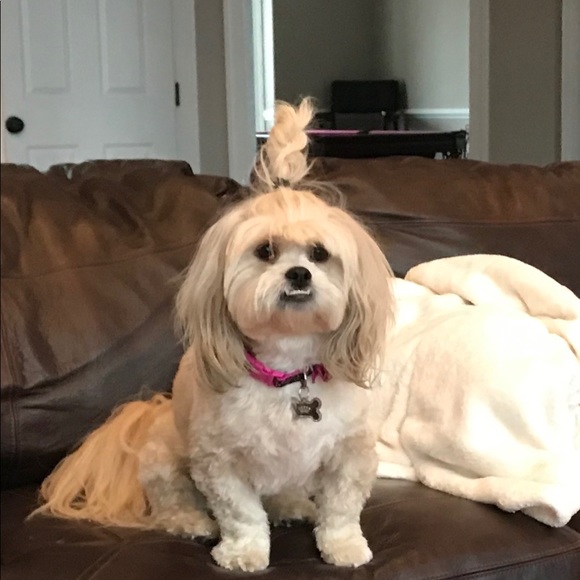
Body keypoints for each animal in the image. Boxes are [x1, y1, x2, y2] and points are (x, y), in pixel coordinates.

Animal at [33, 99, 394, 572]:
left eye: (319, 253)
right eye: (265, 251)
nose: (299, 274)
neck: (287, 369)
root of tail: (152, 409)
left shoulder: (349, 453)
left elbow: (341, 508)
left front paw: (344, 546)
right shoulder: (219, 462)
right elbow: (241, 513)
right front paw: (243, 552)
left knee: (283, 493)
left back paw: (291, 505)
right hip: (165, 458)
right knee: (173, 502)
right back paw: (193, 522)